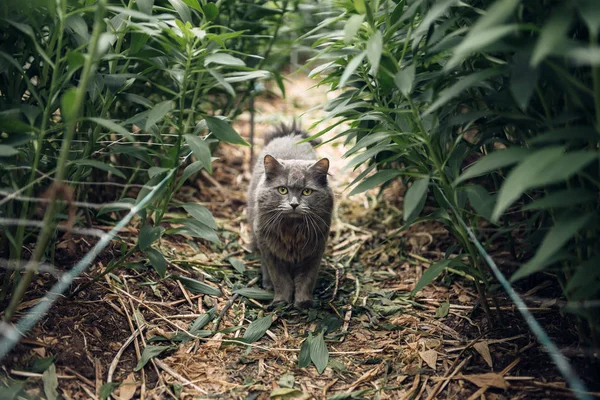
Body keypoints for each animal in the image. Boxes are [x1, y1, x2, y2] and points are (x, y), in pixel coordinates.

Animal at [246, 125, 336, 310]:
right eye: (283, 190)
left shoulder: (315, 251)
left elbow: (306, 280)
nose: (294, 204)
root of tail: (290, 135)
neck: (292, 231)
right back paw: (267, 284)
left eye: (307, 191)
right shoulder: (270, 250)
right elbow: (281, 280)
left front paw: (303, 303)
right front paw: (281, 301)